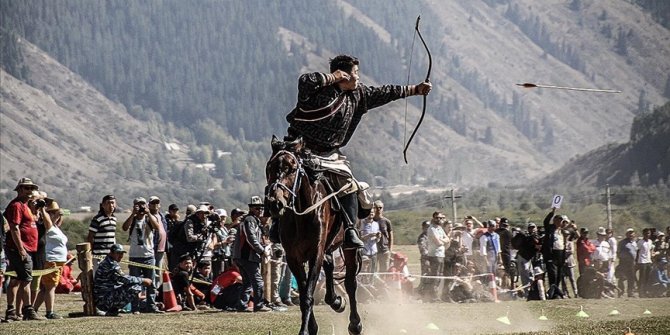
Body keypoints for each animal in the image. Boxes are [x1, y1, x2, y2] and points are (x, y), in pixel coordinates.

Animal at [266, 136, 364, 335]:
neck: (303, 214)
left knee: (350, 283)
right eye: (270, 167)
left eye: (292, 168)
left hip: (347, 246)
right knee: (330, 265)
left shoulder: (314, 253)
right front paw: (311, 327)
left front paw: (305, 330)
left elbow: (308, 294)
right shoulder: (293, 257)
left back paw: (355, 324)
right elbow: (304, 292)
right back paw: (335, 301)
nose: (274, 203)